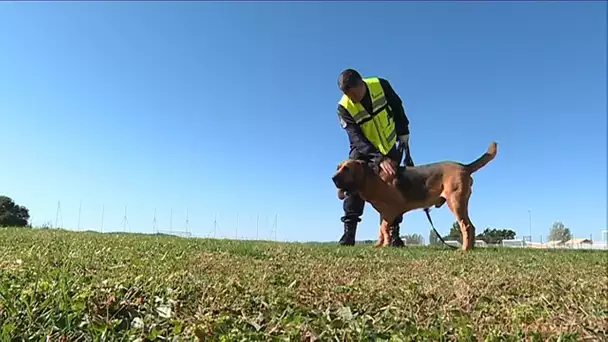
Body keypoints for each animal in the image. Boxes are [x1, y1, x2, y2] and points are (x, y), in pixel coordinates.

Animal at [332, 142, 498, 251]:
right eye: (338, 168)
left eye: (347, 169)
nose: (332, 179)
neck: (372, 178)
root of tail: (465, 167)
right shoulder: (384, 213)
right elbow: (381, 230)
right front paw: (380, 244)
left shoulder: (390, 210)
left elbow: (384, 228)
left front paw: (385, 245)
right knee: (471, 227)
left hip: (456, 203)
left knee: (467, 226)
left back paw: (464, 249)